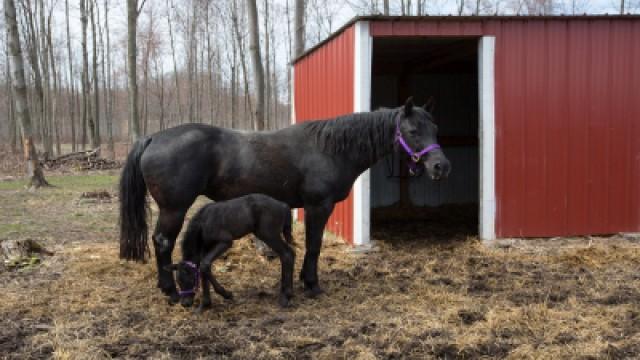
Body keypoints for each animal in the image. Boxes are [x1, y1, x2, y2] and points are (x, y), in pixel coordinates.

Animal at [165, 194, 296, 310]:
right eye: (178, 281)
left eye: (191, 280)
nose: (185, 303)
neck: (203, 223)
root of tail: (283, 205)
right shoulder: (206, 248)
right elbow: (203, 268)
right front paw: (205, 304)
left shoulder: (225, 242)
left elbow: (204, 265)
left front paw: (226, 294)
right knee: (288, 254)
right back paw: (285, 293)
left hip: (268, 234)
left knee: (287, 254)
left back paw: (286, 296)